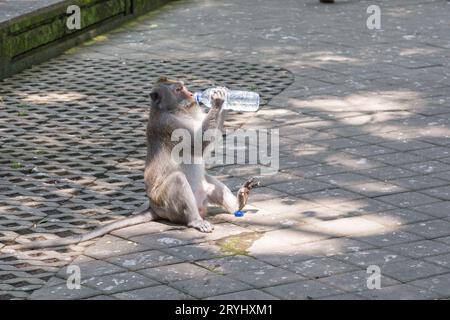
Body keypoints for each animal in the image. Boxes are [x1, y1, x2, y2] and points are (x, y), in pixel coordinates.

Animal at [8, 77, 258, 250]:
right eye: (179, 90)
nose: (191, 94)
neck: (174, 110)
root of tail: (153, 207)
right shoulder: (169, 125)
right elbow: (196, 146)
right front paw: (218, 99)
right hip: (167, 203)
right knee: (178, 180)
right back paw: (195, 221)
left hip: (198, 193)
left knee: (209, 180)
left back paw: (239, 202)